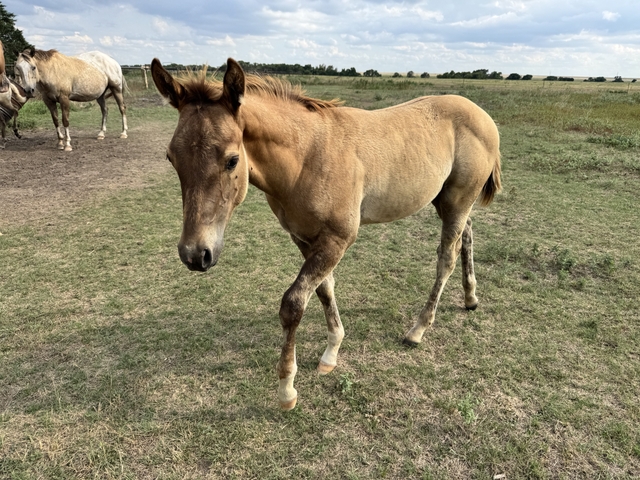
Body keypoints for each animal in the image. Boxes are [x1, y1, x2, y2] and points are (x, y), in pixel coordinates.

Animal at [151, 58, 502, 410]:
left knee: (446, 257)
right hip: (446, 202)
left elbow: (293, 304)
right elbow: (324, 290)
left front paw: (287, 389)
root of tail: (482, 115)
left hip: (457, 201)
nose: (195, 254)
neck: (306, 157)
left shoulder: (338, 239)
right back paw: (470, 298)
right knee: (467, 235)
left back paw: (418, 329)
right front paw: (331, 352)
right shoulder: (304, 238)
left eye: (232, 159)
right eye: (171, 158)